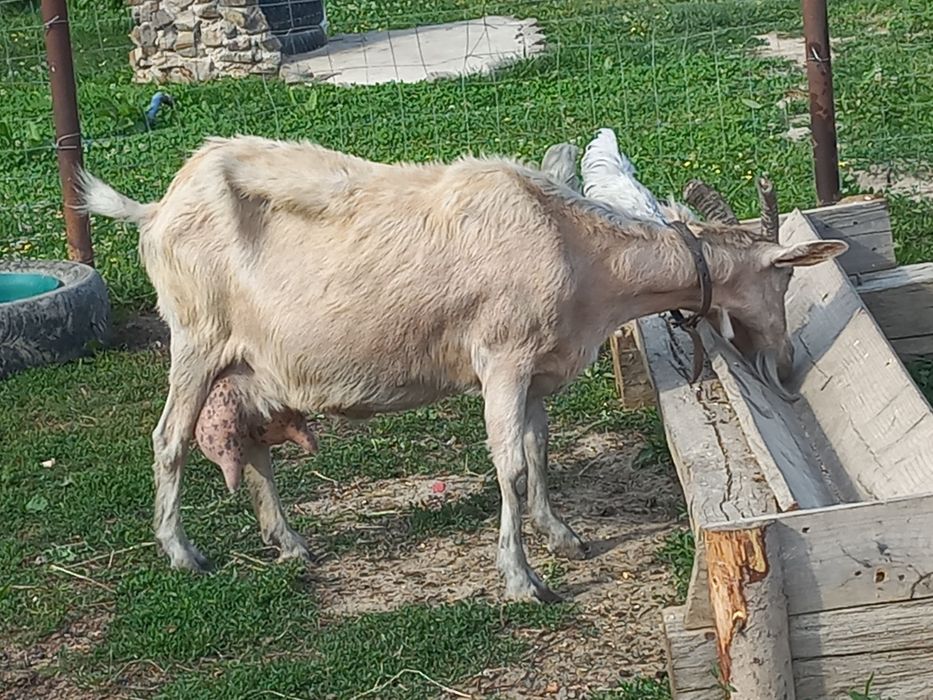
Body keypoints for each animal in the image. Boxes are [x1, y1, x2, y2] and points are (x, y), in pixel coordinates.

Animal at [77, 135, 847, 602]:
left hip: (248, 364)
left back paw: (292, 545)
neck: (578, 249)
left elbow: (538, 451)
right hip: (196, 339)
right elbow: (508, 465)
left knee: (255, 448)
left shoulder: (536, 367)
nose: (783, 366)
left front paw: (562, 537)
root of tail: (156, 207)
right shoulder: (502, 358)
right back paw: (182, 552)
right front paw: (523, 579)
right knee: (169, 439)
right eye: (783, 277)